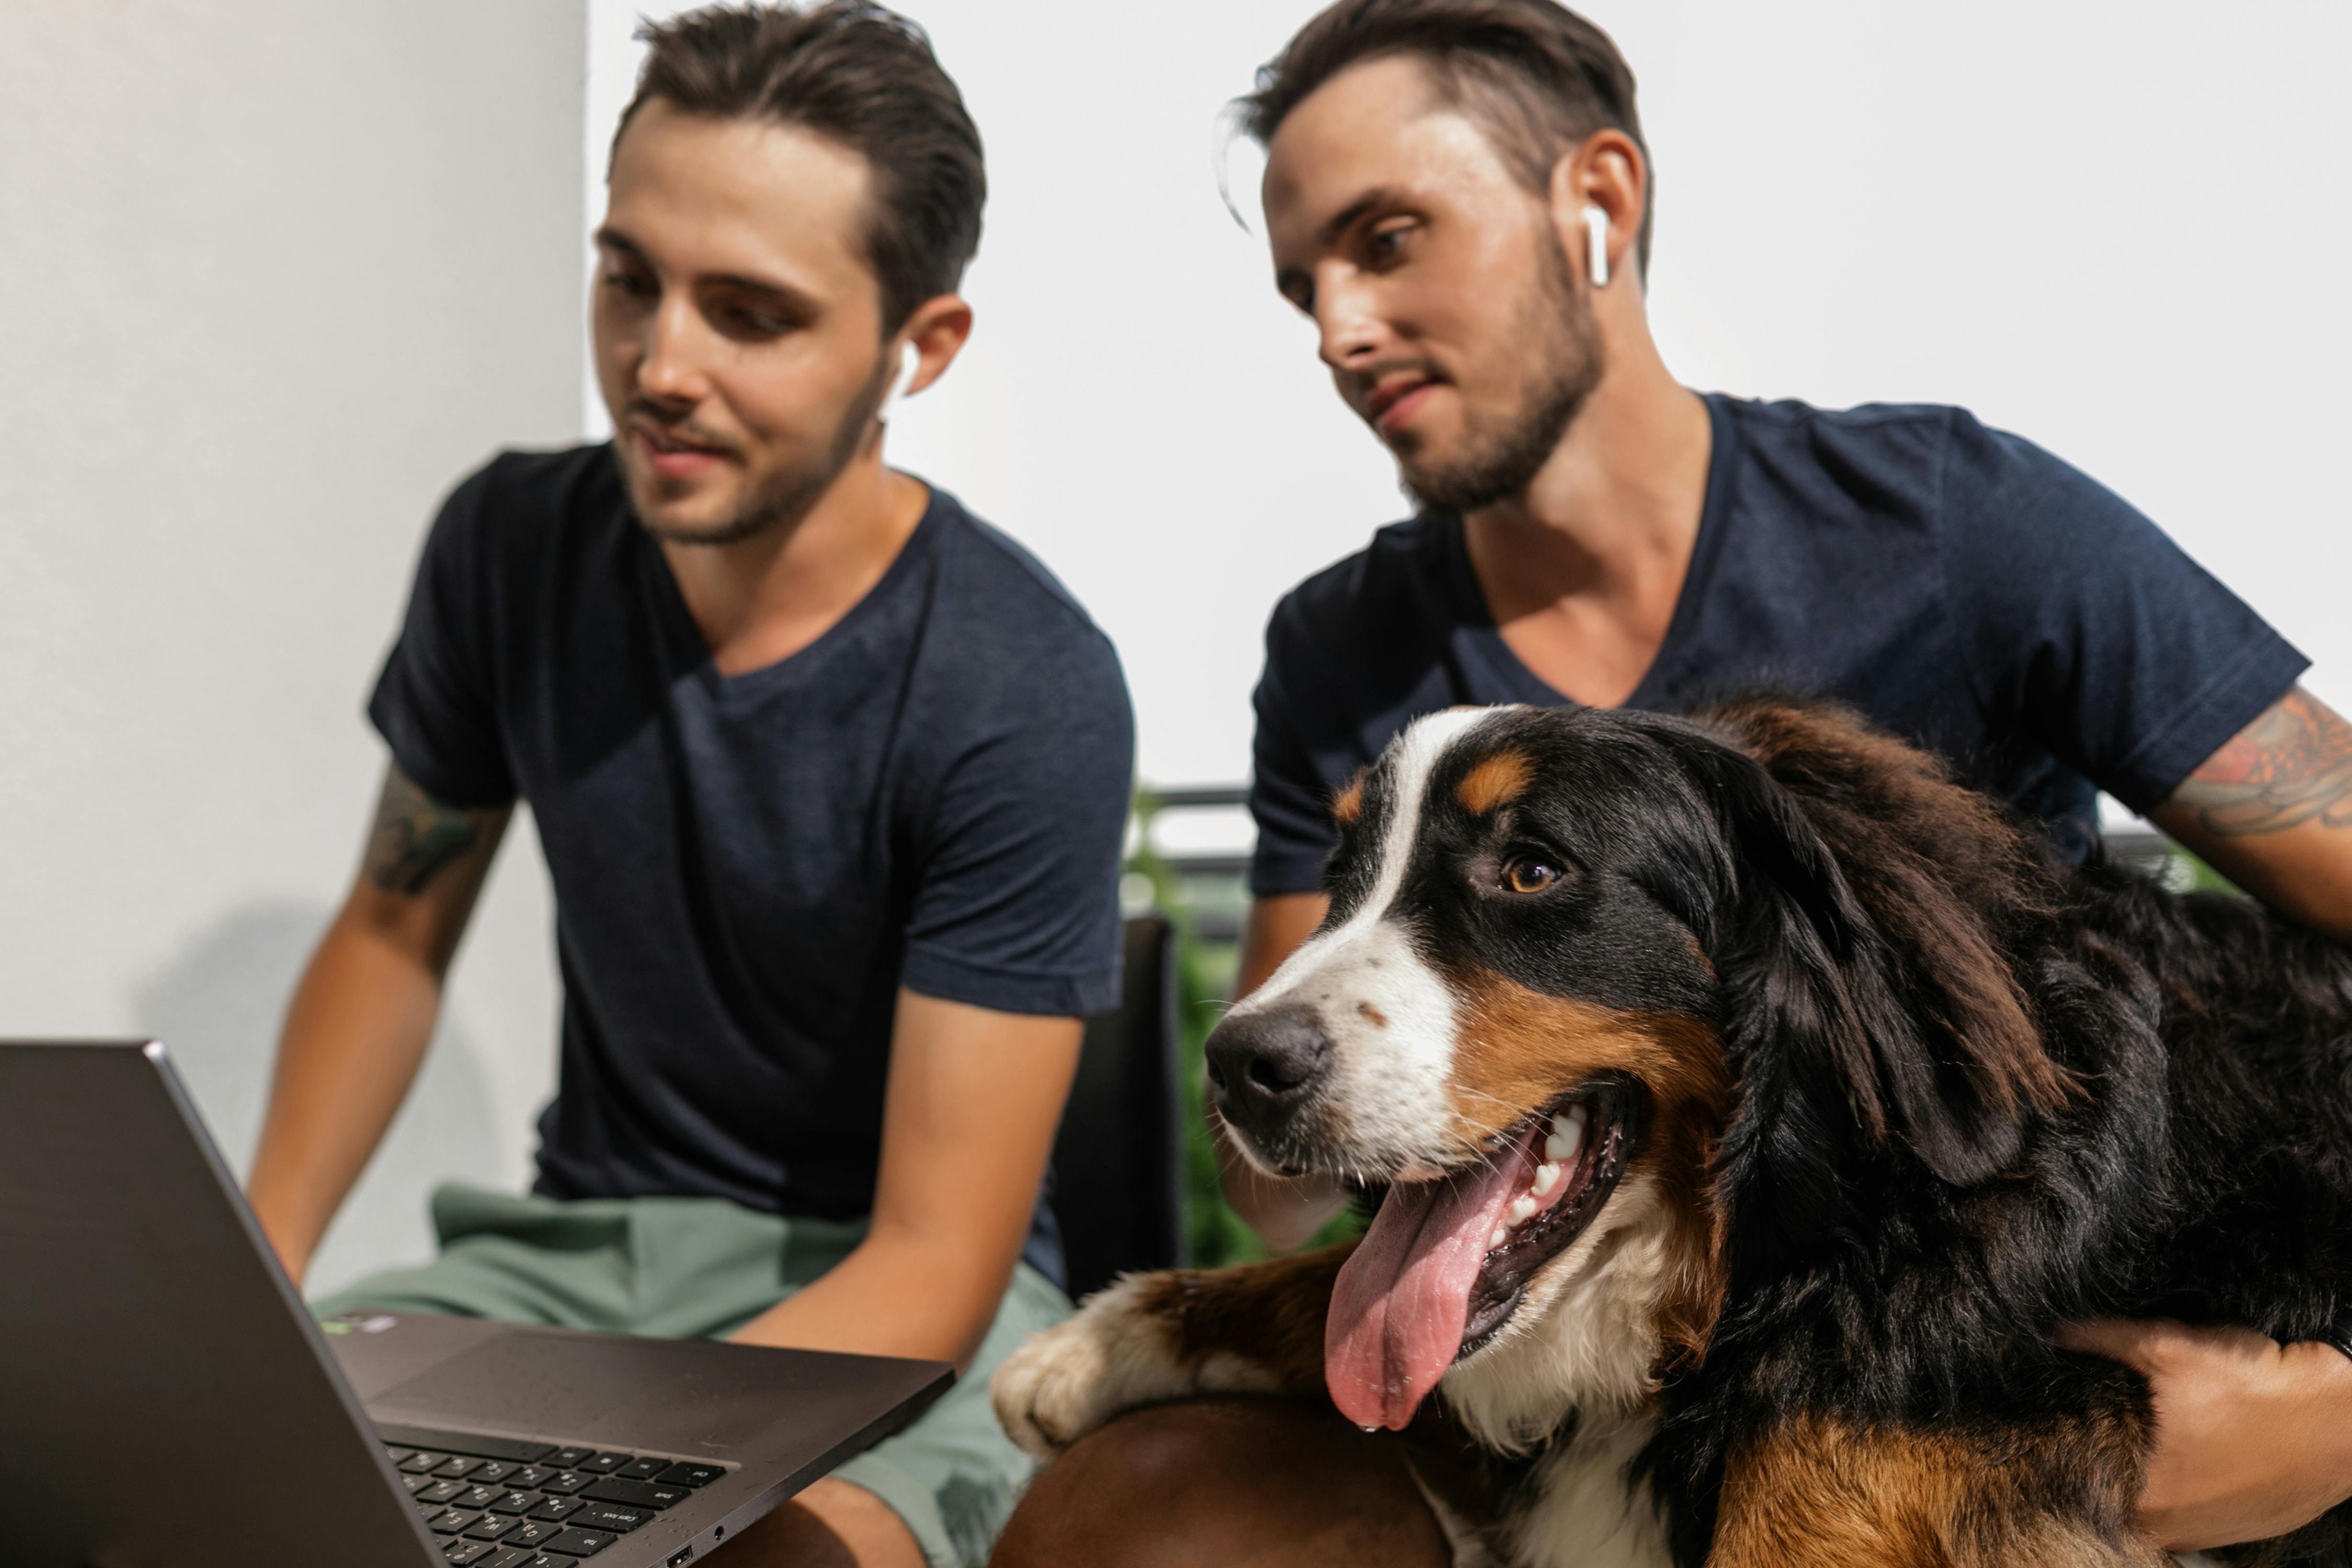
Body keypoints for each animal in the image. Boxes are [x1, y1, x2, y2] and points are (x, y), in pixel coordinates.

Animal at [988, 700, 2352, 1568]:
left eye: (1533, 870)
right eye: (1339, 876)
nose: (1237, 1065)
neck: (1788, 1245)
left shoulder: (1990, 1391)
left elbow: (1820, 1476)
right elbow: (1331, 1287)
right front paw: (1102, 1340)